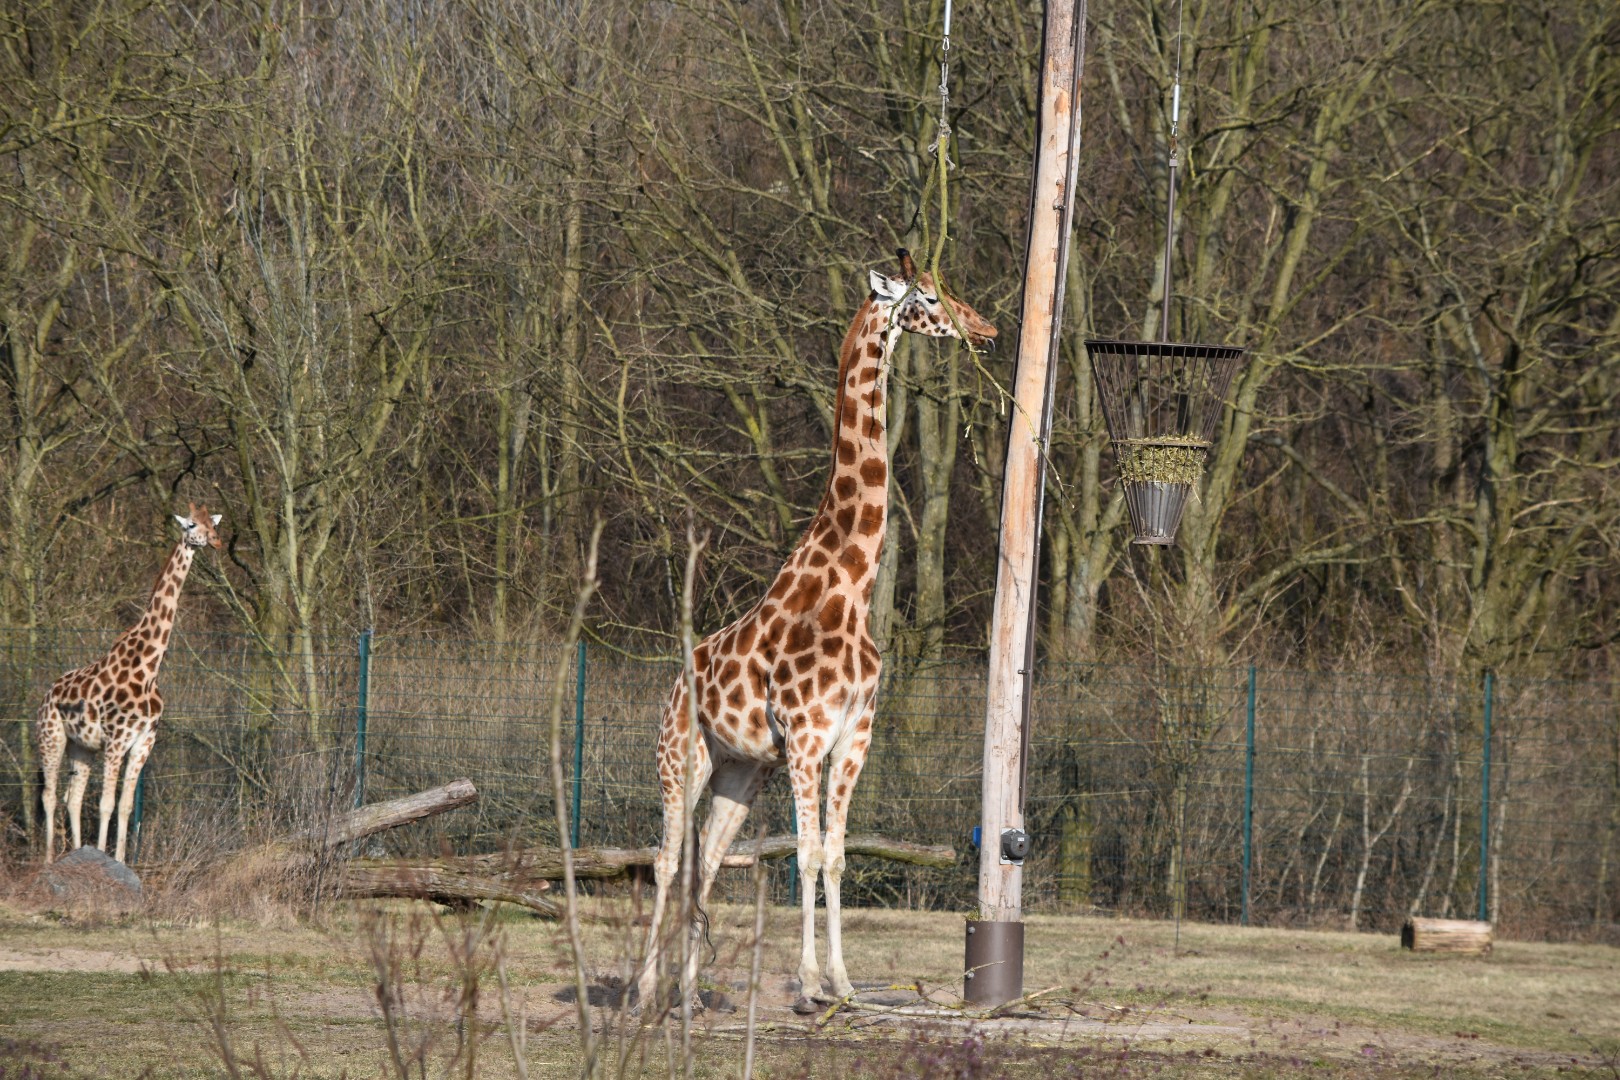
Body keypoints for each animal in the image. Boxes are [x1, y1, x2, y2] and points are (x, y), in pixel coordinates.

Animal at [35, 504, 223, 864]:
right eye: (192, 525)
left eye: (214, 524)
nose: (217, 541)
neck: (148, 670)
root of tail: (47, 693)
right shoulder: (116, 740)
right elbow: (107, 804)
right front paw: (104, 857)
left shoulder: (143, 742)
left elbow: (124, 806)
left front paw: (119, 861)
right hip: (51, 736)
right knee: (50, 795)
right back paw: (49, 860)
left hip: (81, 746)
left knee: (72, 796)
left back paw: (76, 852)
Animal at [635, 250, 996, 1013]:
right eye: (927, 296)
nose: (982, 330)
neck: (850, 583)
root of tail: (677, 682)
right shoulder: (805, 736)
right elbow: (802, 855)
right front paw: (806, 984)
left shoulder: (853, 735)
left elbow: (834, 854)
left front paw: (844, 983)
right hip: (681, 758)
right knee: (664, 859)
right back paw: (646, 989)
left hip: (739, 771)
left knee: (708, 862)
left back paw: (688, 993)